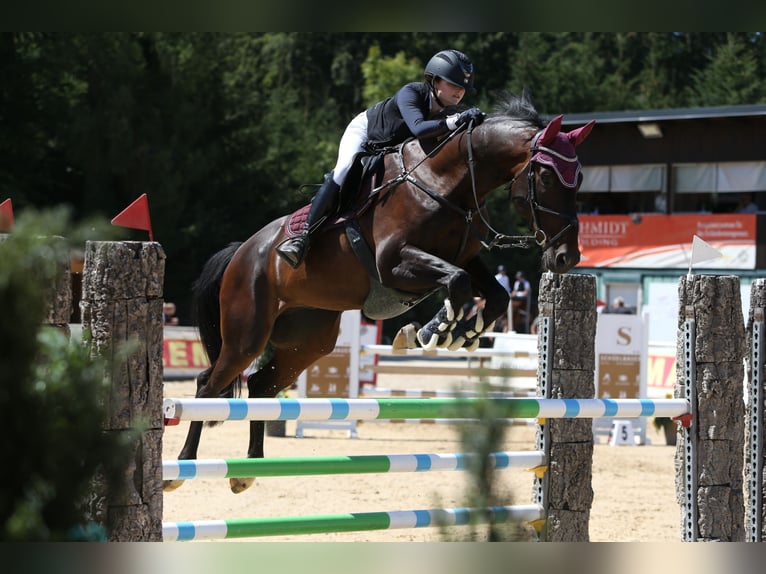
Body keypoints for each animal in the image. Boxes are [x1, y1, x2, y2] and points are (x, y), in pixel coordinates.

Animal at [166, 91, 600, 496]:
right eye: (547, 177)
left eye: (579, 180)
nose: (567, 257)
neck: (446, 183)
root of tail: (241, 251)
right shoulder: (394, 263)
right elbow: (457, 283)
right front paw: (430, 332)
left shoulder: (466, 258)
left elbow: (492, 294)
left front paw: (458, 333)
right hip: (247, 332)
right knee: (207, 384)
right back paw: (181, 467)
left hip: (308, 341)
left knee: (259, 385)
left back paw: (247, 469)